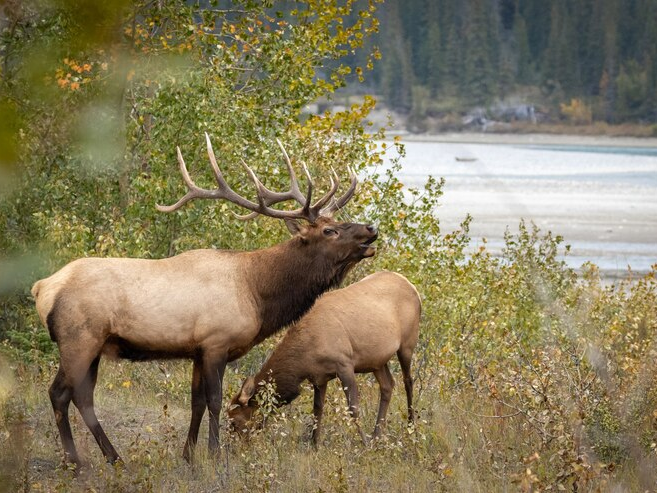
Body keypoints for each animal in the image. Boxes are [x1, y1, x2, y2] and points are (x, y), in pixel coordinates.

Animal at [32, 133, 380, 468]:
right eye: (329, 231)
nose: (371, 228)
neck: (256, 293)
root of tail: (42, 287)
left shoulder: (197, 350)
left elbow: (196, 402)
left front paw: (188, 455)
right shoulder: (216, 342)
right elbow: (214, 400)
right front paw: (214, 454)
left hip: (93, 345)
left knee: (77, 396)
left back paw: (105, 458)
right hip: (80, 339)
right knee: (62, 394)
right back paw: (83, 461)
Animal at [228, 270, 418, 444]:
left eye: (235, 422)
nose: (235, 448)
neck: (303, 359)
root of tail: (411, 285)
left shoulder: (344, 364)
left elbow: (353, 408)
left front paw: (364, 443)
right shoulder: (319, 378)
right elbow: (317, 410)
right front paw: (314, 445)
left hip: (407, 345)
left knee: (408, 381)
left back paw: (411, 427)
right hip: (376, 361)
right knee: (387, 385)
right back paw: (377, 435)